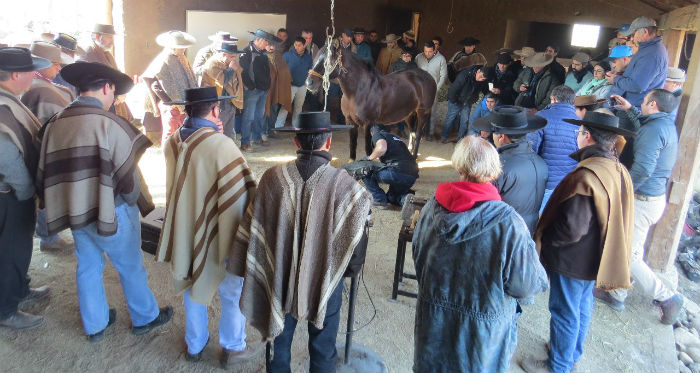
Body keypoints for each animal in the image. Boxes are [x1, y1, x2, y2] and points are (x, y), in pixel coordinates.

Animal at [304, 41, 434, 160]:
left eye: (327, 62)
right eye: (315, 58)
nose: (309, 83)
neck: (358, 91)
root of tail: (428, 76)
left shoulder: (368, 124)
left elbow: (368, 150)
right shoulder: (350, 122)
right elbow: (352, 148)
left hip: (422, 112)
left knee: (418, 134)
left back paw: (414, 157)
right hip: (409, 114)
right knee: (412, 133)